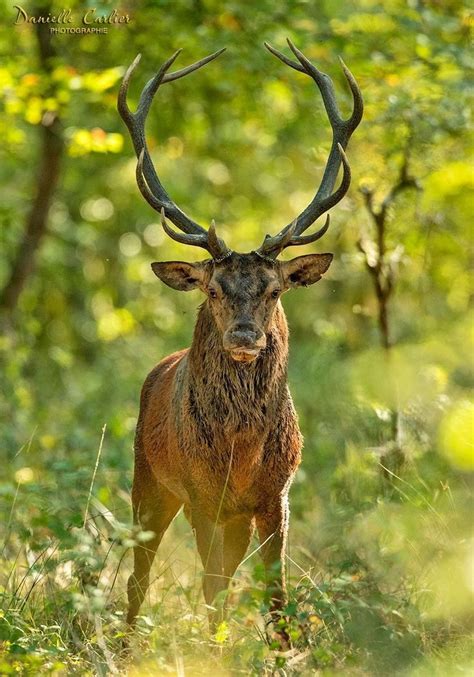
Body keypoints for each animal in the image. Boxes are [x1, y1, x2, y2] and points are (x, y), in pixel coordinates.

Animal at [118, 38, 362, 640]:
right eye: (212, 288)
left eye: (275, 289)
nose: (246, 334)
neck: (242, 452)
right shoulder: (202, 495)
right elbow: (212, 595)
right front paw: (215, 648)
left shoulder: (276, 496)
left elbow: (276, 598)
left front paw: (282, 651)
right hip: (147, 480)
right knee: (140, 578)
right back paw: (125, 644)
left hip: (232, 516)